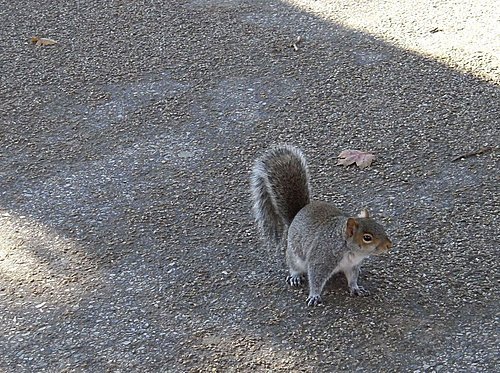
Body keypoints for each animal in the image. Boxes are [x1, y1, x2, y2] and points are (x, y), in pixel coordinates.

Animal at [250, 145, 390, 306]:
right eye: (367, 237)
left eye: (381, 227)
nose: (389, 245)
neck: (349, 250)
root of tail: (297, 215)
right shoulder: (321, 259)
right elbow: (315, 278)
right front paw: (314, 295)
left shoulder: (352, 265)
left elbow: (353, 277)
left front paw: (355, 288)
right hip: (294, 255)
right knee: (294, 265)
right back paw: (295, 276)